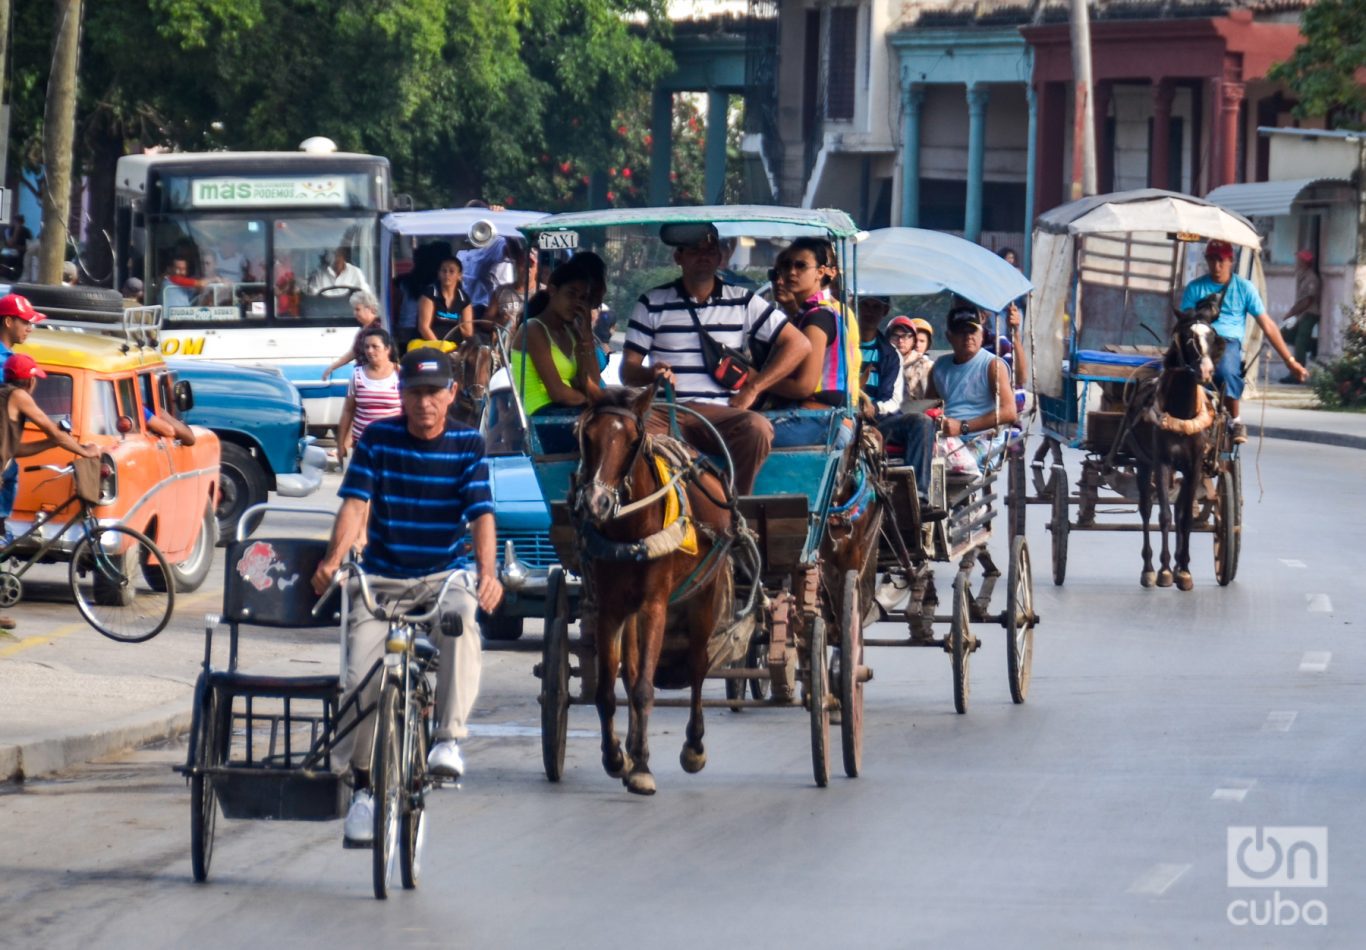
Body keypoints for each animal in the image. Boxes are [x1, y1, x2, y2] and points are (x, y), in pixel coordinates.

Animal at [570, 385, 743, 792]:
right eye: (587, 436)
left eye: (633, 441)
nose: (597, 503)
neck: (631, 529)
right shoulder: (611, 607)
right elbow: (609, 689)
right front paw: (617, 757)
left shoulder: (655, 605)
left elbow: (645, 688)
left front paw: (642, 768)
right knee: (632, 671)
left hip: (704, 595)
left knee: (697, 666)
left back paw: (693, 747)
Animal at [1125, 300, 1223, 590]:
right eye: (1188, 338)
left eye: (1213, 337)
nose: (1206, 371)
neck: (1182, 410)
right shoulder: (1162, 463)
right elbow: (1165, 516)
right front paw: (1165, 570)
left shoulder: (1194, 466)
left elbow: (1185, 516)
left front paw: (1184, 570)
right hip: (1143, 463)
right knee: (1146, 509)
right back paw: (1148, 568)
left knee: (1179, 508)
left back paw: (1180, 563)